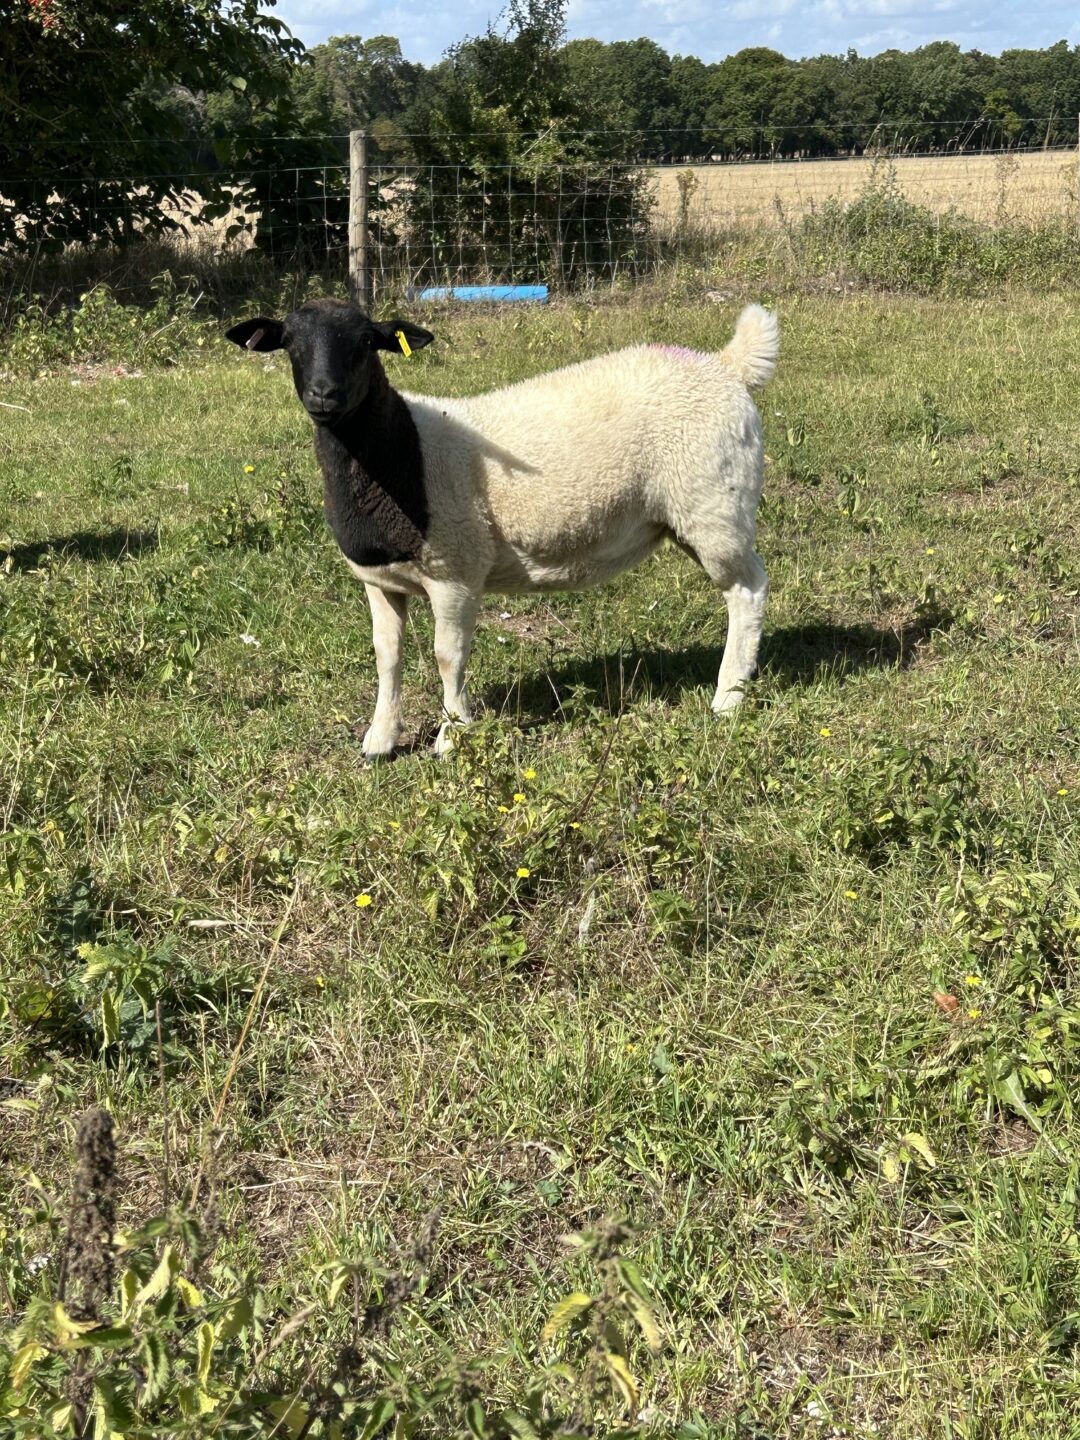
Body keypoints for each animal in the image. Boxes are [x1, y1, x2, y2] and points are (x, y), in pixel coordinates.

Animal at [225, 298, 779, 758]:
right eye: (290, 342)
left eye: (366, 342)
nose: (325, 396)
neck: (403, 453)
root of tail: (726, 365)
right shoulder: (379, 580)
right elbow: (387, 656)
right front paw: (379, 739)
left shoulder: (456, 572)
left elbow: (448, 657)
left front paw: (452, 736)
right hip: (694, 516)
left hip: (714, 507)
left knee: (747, 592)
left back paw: (728, 698)